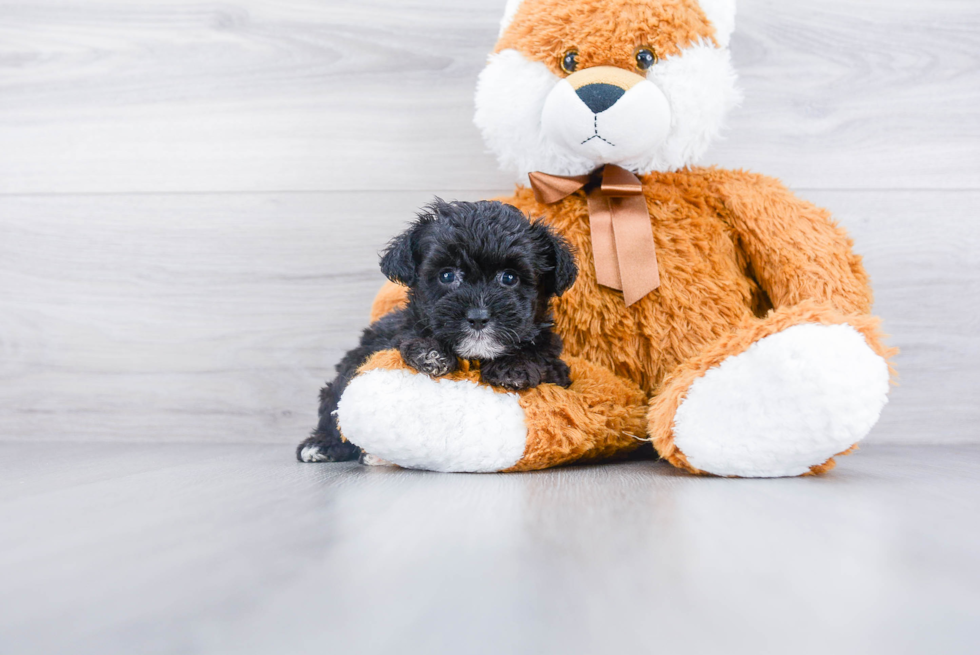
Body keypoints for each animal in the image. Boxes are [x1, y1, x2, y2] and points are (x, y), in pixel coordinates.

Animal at [294, 197, 580, 464]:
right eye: (447, 276)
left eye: (509, 278)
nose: (478, 317)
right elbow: (413, 334)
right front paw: (430, 353)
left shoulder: (558, 371)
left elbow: (541, 353)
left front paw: (513, 367)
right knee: (334, 405)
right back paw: (321, 445)